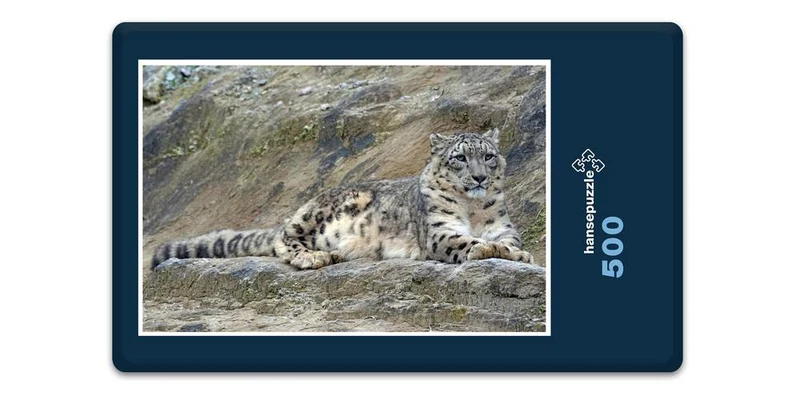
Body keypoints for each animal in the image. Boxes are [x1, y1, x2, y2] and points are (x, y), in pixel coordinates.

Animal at [151, 128, 535, 270]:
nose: (479, 177)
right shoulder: (439, 231)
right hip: (315, 213)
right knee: (282, 238)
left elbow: (509, 241)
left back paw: (335, 253)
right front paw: (489, 250)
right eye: (460, 157)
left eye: (488, 156)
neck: (473, 209)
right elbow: (467, 242)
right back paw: (315, 256)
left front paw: (516, 253)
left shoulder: (503, 225)